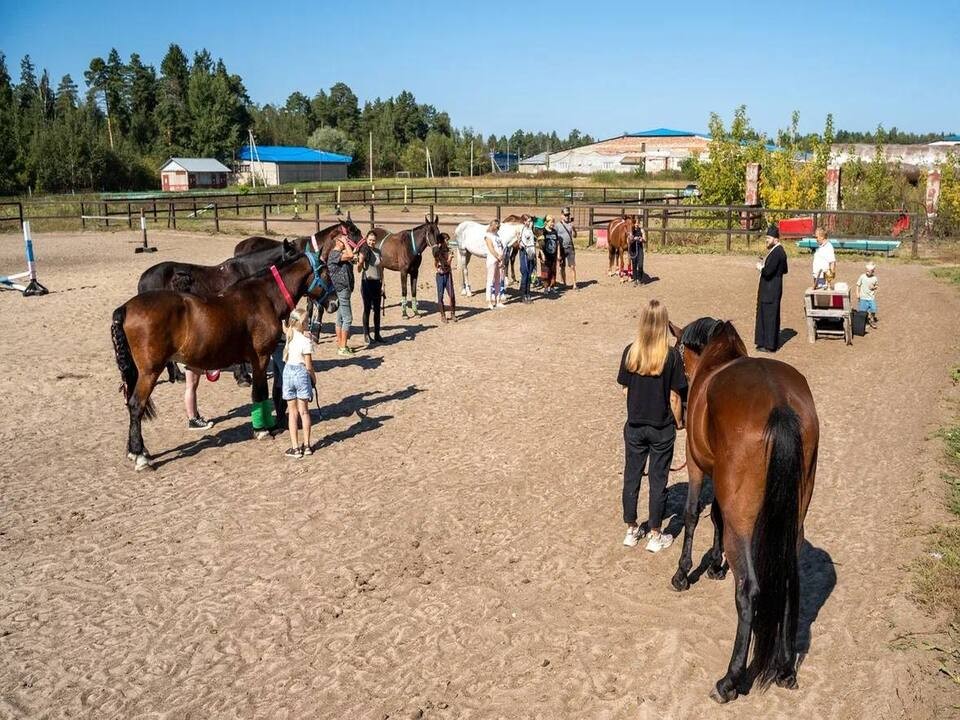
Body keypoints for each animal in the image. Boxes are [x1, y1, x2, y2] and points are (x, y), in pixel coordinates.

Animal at [111, 250, 338, 470]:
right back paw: (140, 455)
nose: (335, 302)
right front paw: (261, 430)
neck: (264, 297)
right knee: (136, 405)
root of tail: (126, 308)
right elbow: (259, 392)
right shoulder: (260, 357)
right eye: (327, 273)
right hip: (149, 372)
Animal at [668, 320, 816, 704]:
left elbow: (693, 515)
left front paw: (684, 572)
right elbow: (715, 516)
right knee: (789, 583)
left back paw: (730, 680)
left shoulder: (696, 465)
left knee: (749, 590)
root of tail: (779, 403)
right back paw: (785, 668)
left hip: (743, 526)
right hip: (793, 524)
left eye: (677, 353)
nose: (679, 405)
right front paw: (715, 564)